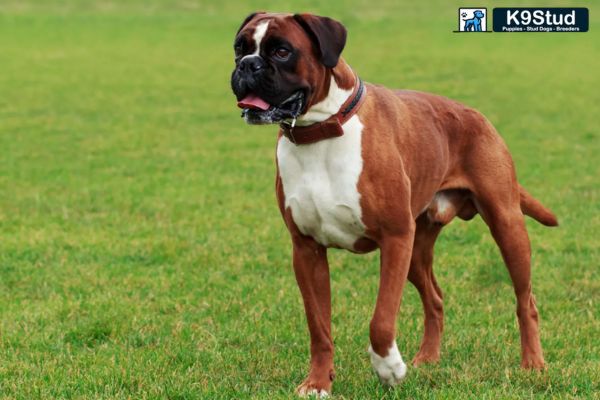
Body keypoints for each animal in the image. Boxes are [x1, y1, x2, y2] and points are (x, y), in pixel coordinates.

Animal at [231, 12, 556, 396]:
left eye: (282, 51)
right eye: (239, 48)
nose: (247, 66)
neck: (321, 131)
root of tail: (476, 114)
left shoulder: (395, 238)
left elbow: (381, 320)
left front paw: (389, 369)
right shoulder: (307, 250)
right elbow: (318, 326)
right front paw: (318, 383)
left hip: (505, 227)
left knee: (526, 301)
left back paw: (533, 364)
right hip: (417, 252)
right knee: (435, 299)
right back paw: (427, 358)